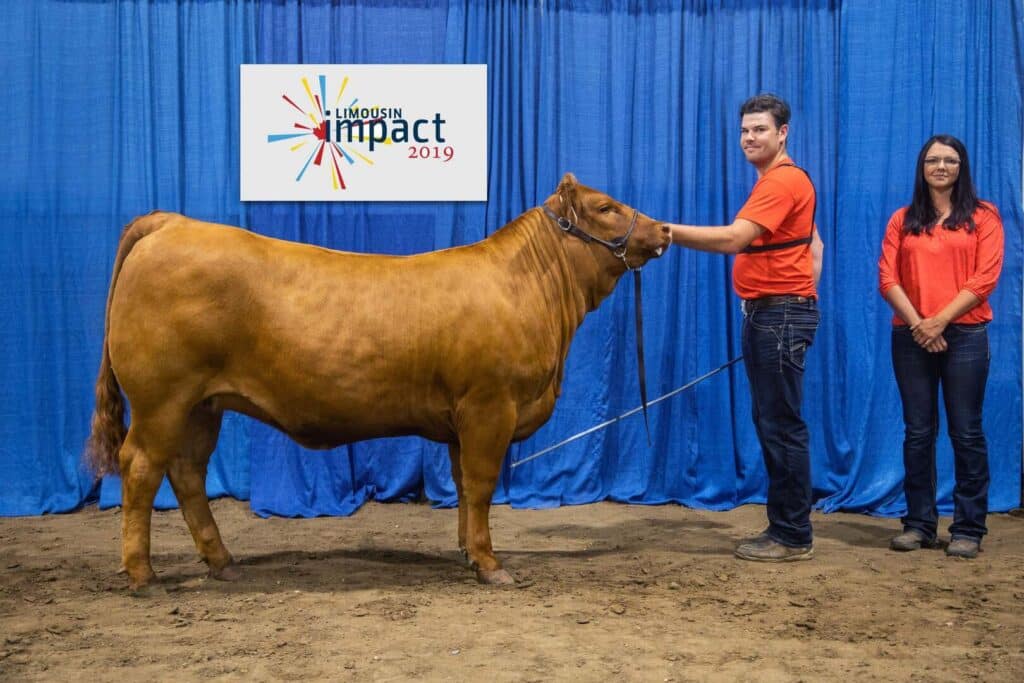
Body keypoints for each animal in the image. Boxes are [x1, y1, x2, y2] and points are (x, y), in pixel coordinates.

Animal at [86, 173, 672, 590]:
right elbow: (482, 484)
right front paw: (490, 564)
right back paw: (144, 575)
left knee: (187, 474)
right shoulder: (490, 405)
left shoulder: (461, 419)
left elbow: (463, 487)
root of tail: (173, 223)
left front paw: (467, 552)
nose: (665, 229)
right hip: (162, 399)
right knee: (141, 469)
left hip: (202, 405)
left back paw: (222, 562)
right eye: (605, 207)